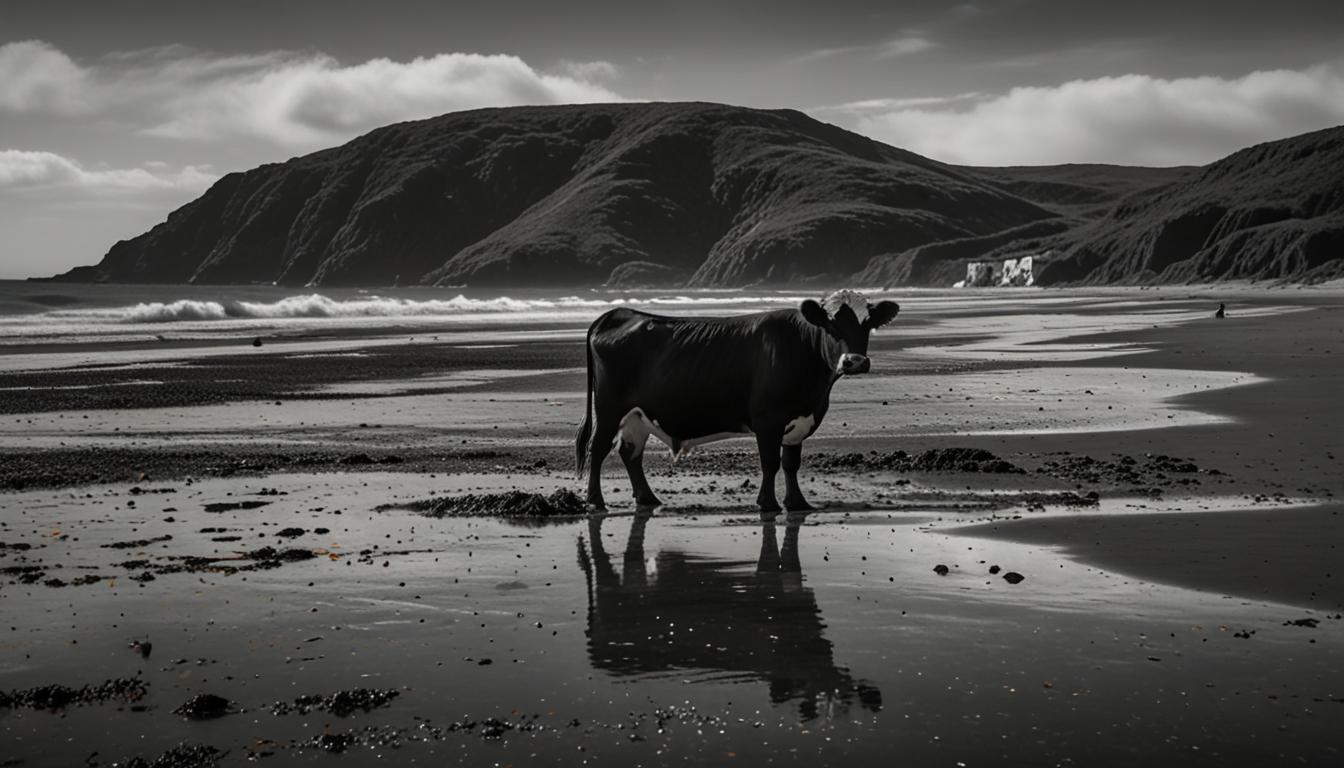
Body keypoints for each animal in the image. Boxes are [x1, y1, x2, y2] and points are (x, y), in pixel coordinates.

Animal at [575, 290, 899, 512]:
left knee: (630, 452)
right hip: (609, 409)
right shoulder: (768, 419)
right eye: (830, 325)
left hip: (638, 416)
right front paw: (767, 503)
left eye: (867, 324)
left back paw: (648, 498)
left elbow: (791, 463)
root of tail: (618, 314)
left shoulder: (800, 419)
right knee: (598, 447)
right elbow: (770, 462)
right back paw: (596, 501)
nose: (855, 361)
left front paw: (797, 503)